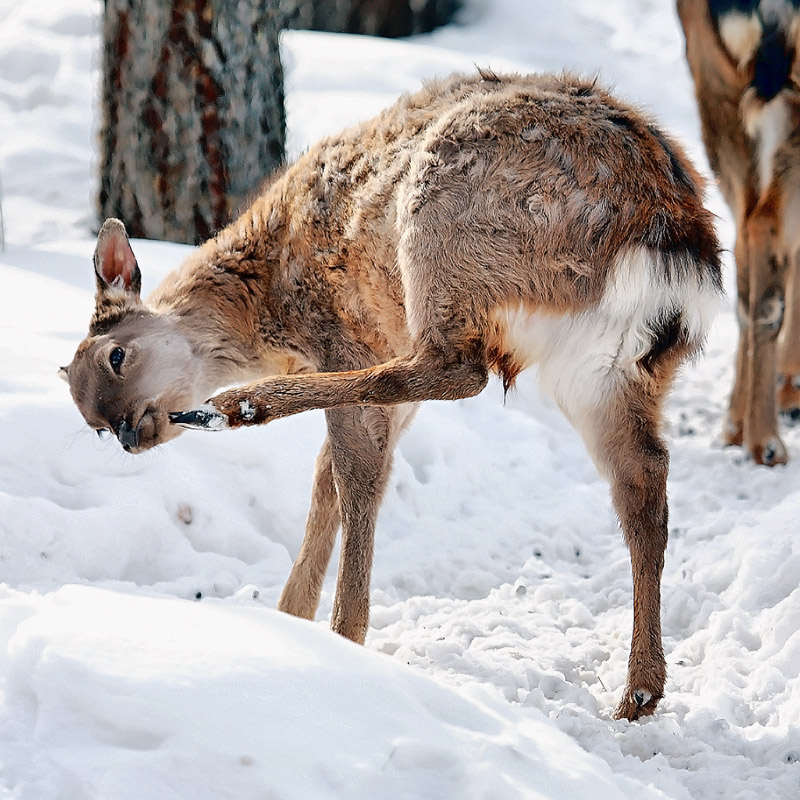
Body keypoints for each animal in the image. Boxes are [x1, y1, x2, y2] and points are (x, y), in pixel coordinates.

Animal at [62, 70, 724, 720]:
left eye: (116, 356)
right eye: (91, 423)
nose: (127, 433)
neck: (269, 300)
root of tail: (672, 237)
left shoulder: (346, 336)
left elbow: (354, 475)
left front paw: (340, 635)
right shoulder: (392, 392)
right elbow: (329, 478)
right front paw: (291, 618)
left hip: (444, 227)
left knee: (462, 370)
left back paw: (240, 405)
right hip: (607, 368)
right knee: (643, 474)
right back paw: (639, 693)